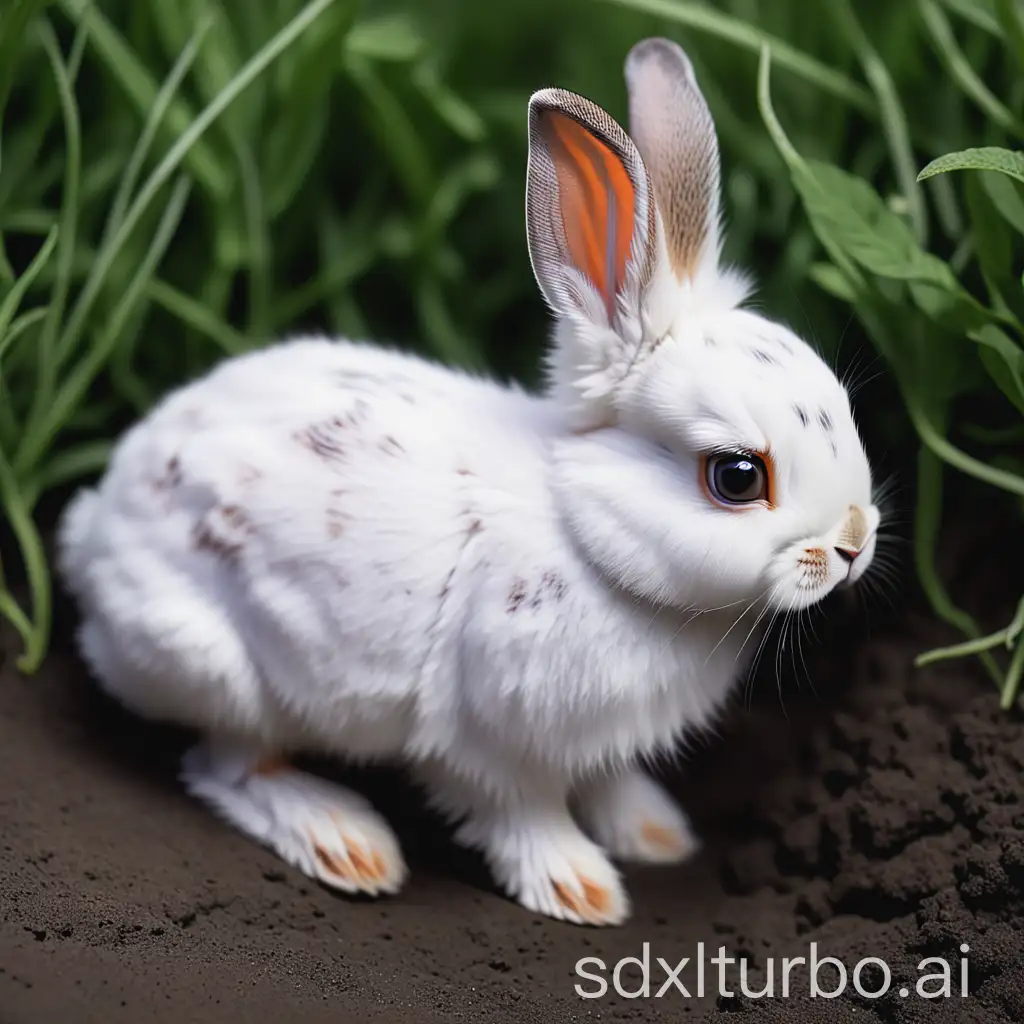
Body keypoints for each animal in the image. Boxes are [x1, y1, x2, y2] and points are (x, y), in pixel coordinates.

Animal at [56, 37, 880, 929]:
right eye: (736, 476)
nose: (853, 542)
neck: (588, 533)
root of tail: (92, 536)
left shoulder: (595, 744)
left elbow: (607, 783)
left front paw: (656, 834)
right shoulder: (491, 742)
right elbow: (523, 813)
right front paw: (582, 889)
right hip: (224, 671)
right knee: (228, 765)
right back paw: (346, 840)